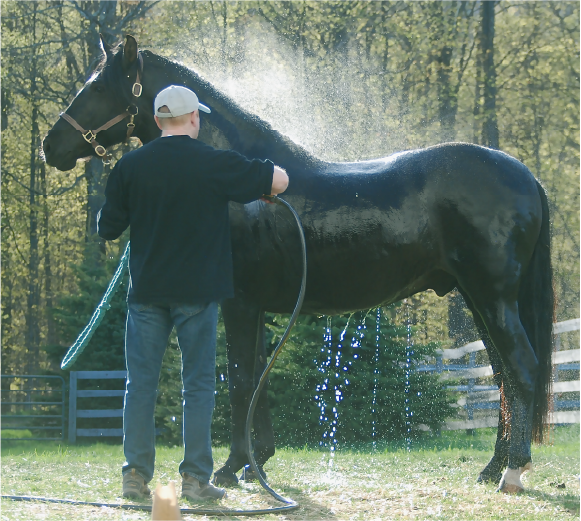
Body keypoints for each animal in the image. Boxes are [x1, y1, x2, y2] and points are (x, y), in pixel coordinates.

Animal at [42, 36, 552, 492]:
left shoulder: (240, 304)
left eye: (97, 87)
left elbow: (240, 380)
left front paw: (231, 468)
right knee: (503, 380)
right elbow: (257, 379)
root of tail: (525, 174)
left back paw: (512, 471)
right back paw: (492, 468)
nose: (51, 146)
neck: (241, 182)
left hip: (492, 298)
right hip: (478, 299)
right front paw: (256, 464)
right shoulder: (258, 308)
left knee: (522, 370)